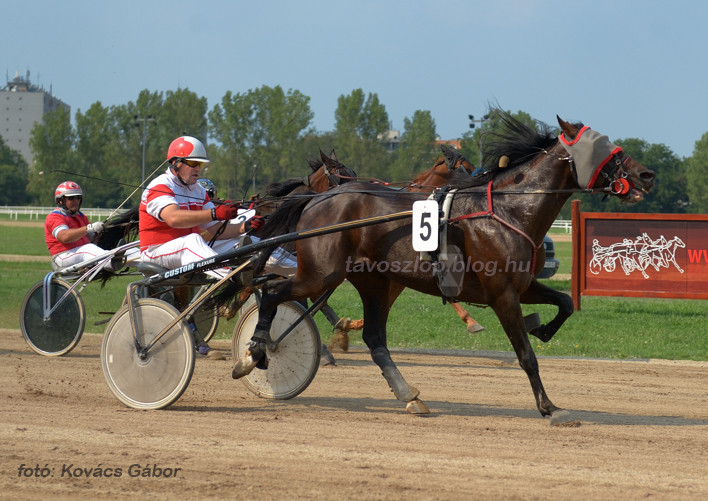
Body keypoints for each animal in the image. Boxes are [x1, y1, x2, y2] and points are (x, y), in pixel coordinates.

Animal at [235, 110, 656, 422]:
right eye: (608, 150)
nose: (646, 174)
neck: (508, 211)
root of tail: (316, 199)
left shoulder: (520, 286)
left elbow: (565, 303)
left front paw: (543, 329)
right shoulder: (502, 295)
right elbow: (526, 356)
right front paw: (550, 407)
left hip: (373, 281)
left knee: (373, 337)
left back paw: (408, 394)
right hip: (322, 272)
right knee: (271, 290)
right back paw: (257, 351)